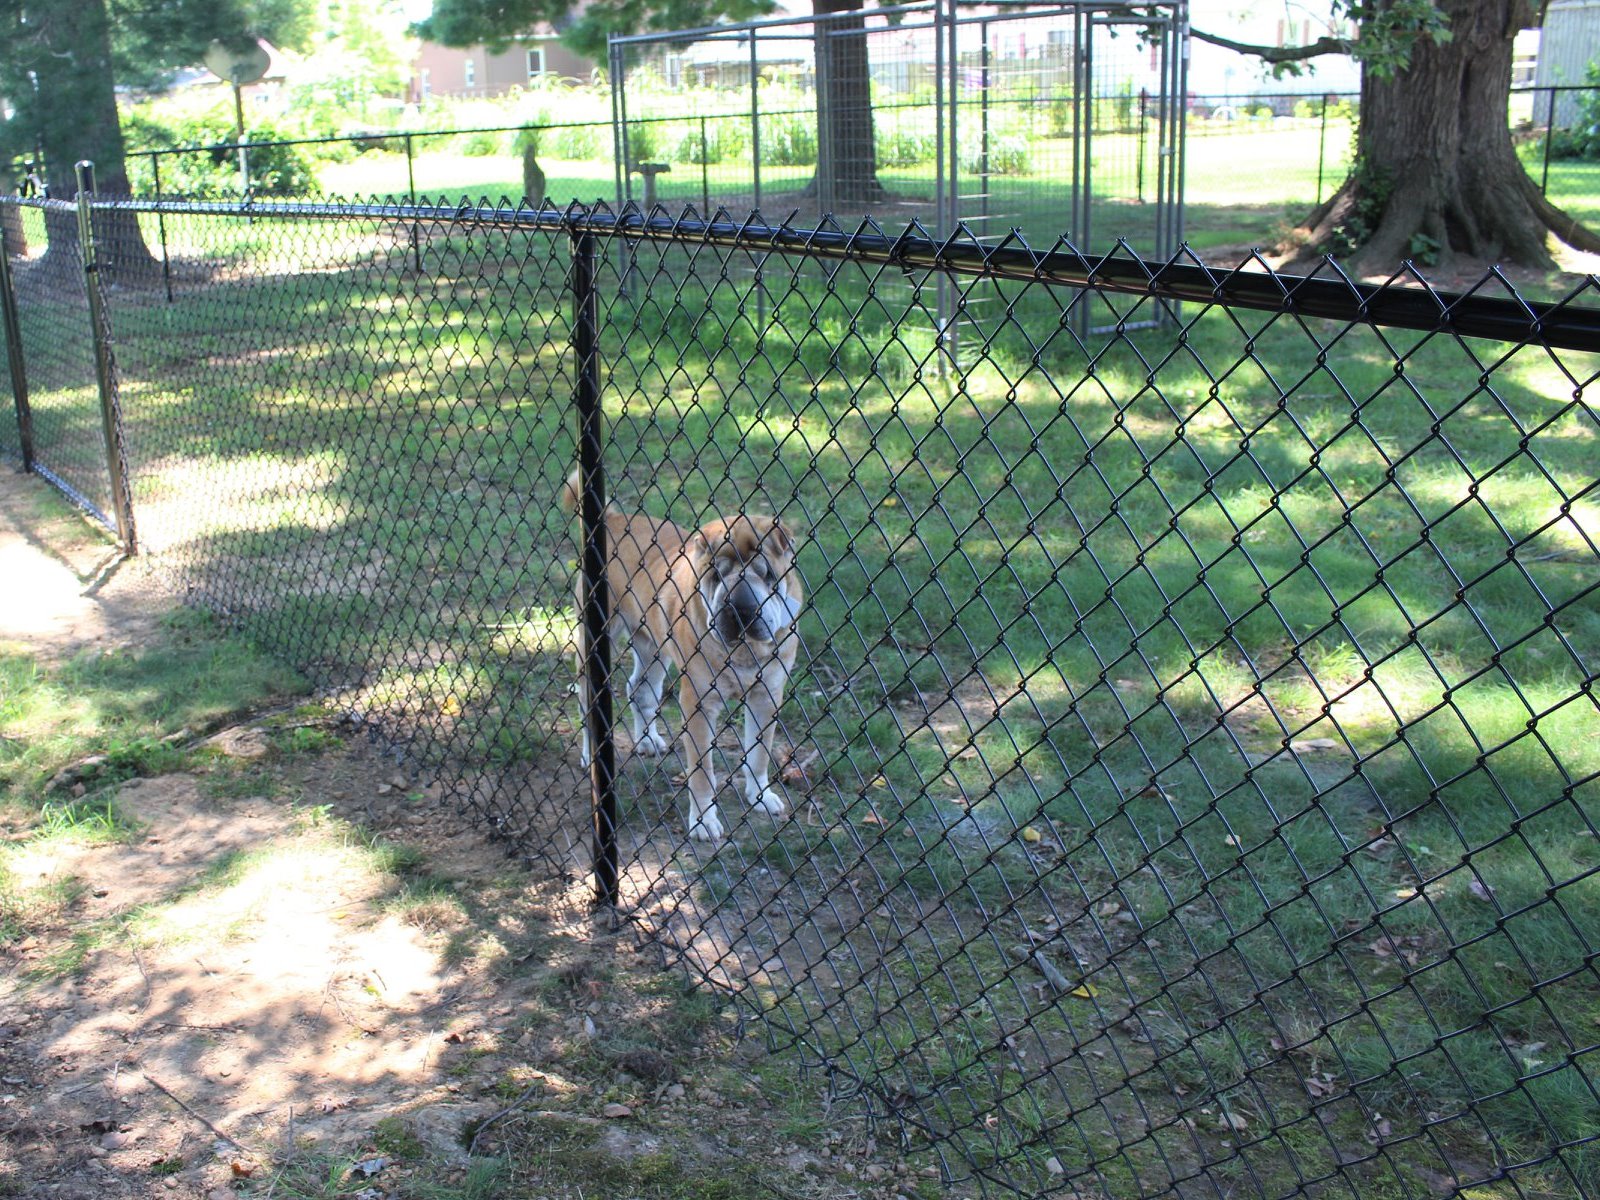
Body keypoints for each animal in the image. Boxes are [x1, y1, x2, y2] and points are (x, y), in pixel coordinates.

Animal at [566, 473, 806, 838]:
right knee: (587, 706)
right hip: (592, 644)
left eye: (767, 575)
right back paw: (591, 755)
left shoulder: (767, 696)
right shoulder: (699, 705)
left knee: (640, 690)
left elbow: (759, 753)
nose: (740, 606)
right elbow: (703, 771)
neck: (745, 651)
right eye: (716, 575)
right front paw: (704, 821)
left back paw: (648, 740)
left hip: (651, 647)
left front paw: (760, 796)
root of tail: (613, 518)